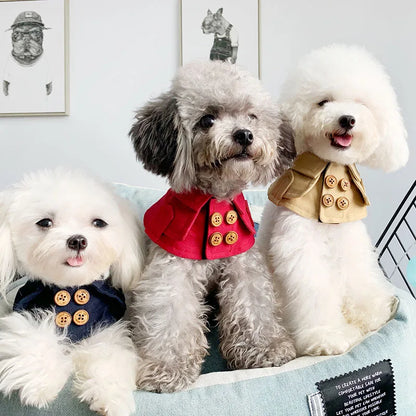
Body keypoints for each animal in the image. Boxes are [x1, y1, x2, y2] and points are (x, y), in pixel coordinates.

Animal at [0, 170, 145, 416]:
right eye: (45, 222)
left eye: (99, 222)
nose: (77, 240)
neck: (70, 288)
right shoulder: (26, 312)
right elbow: (34, 337)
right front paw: (40, 384)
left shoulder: (107, 326)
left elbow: (109, 353)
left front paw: (110, 397)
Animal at [258, 44, 408, 358]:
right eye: (323, 102)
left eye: (361, 104)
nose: (347, 119)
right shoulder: (300, 248)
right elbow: (313, 293)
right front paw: (327, 336)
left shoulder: (349, 240)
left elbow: (358, 276)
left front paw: (370, 312)